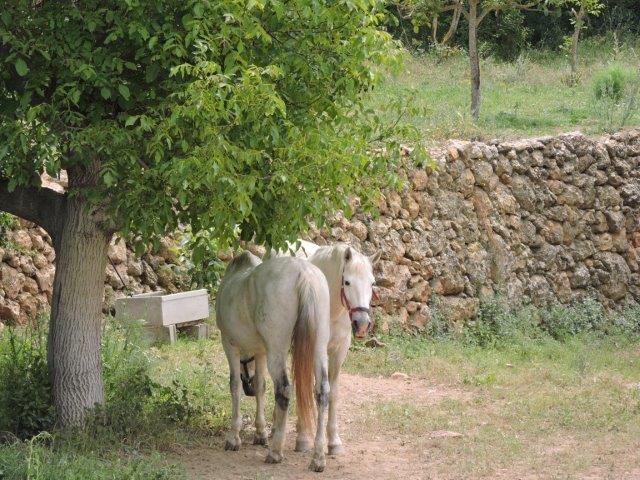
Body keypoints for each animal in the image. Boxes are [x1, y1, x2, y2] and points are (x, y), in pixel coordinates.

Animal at [218, 251, 332, 472]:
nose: (248, 389)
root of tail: (303, 273)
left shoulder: (230, 346)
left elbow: (234, 386)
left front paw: (233, 437)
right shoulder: (261, 352)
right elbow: (261, 386)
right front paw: (260, 433)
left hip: (277, 352)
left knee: (284, 390)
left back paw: (275, 451)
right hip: (318, 349)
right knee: (322, 392)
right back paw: (318, 458)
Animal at [264, 242, 380, 456]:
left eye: (372, 283)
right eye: (347, 282)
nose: (361, 325)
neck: (332, 308)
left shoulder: (338, 352)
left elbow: (332, 393)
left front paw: (334, 441)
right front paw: (303, 439)